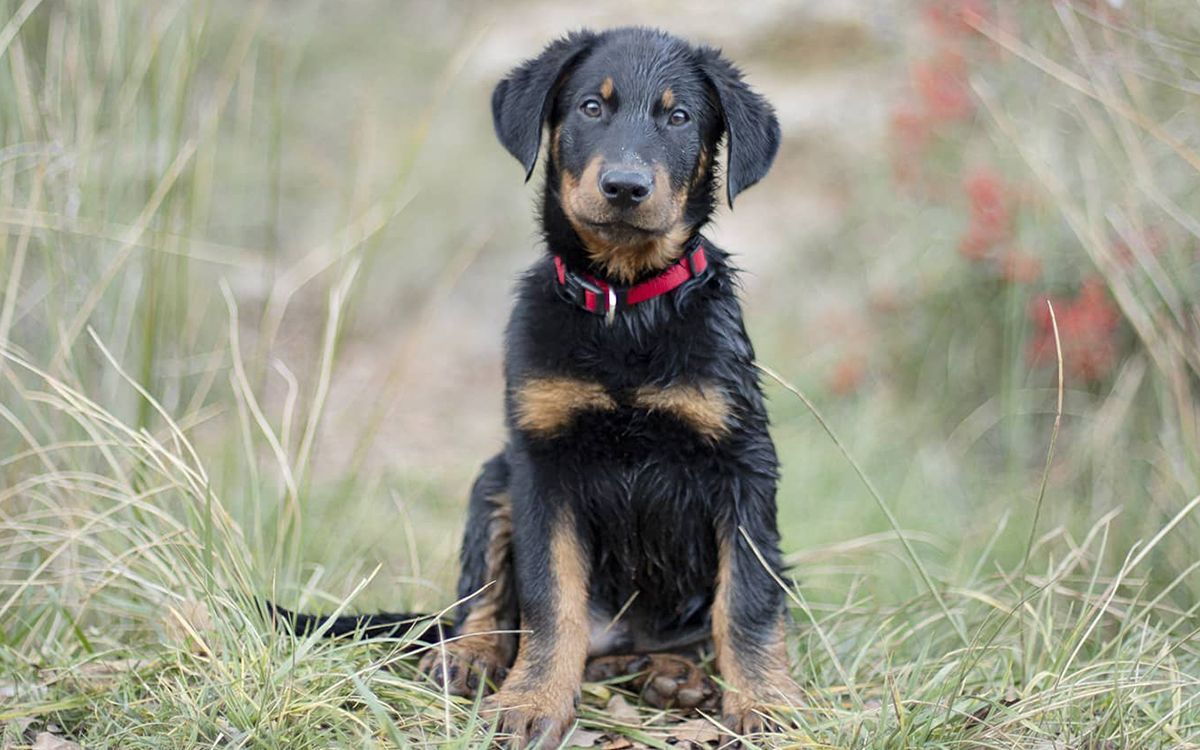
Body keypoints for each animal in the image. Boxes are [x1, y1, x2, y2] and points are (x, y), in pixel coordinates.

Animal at [272, 26, 796, 744]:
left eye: (680, 118)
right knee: (485, 603)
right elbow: (551, 600)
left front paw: (764, 703)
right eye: (591, 108)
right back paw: (468, 658)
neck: (625, 306)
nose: (625, 186)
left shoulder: (743, 462)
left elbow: (746, 598)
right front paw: (531, 701)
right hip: (495, 477)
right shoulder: (542, 465)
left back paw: (675, 674)